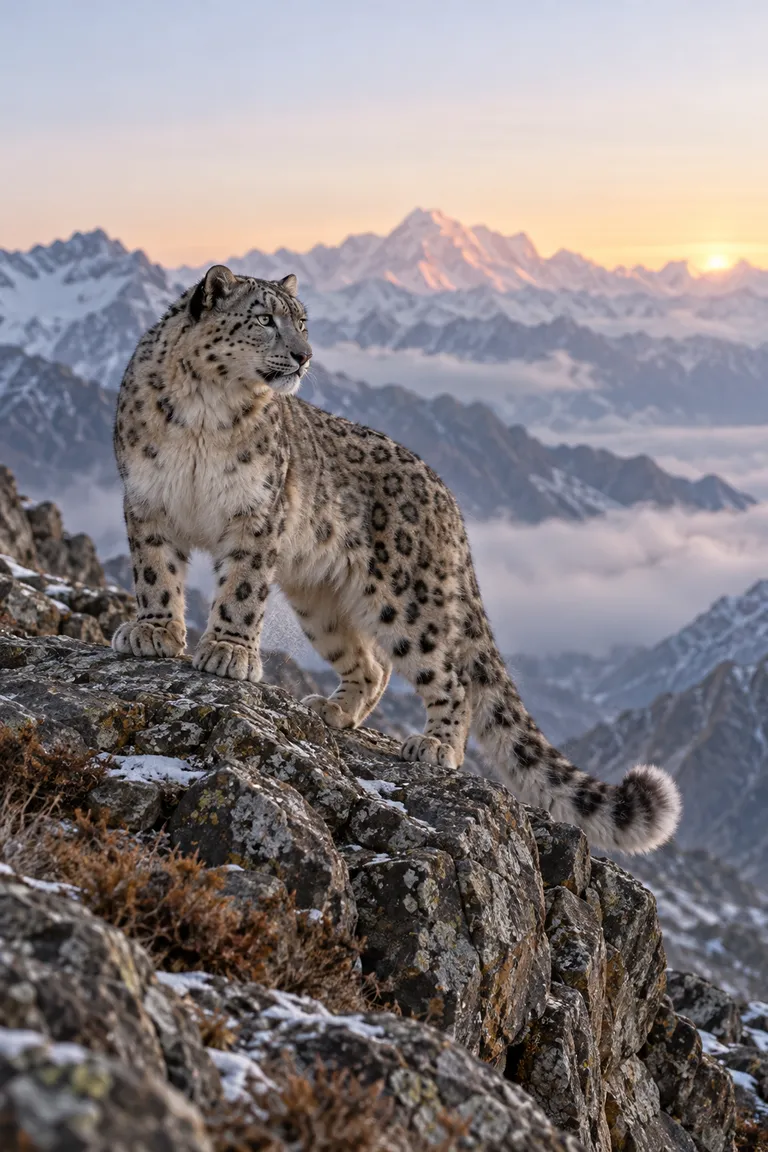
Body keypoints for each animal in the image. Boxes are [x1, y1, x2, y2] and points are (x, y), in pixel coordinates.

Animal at [112, 264, 681, 853]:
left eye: (302, 322)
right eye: (265, 319)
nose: (304, 356)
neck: (205, 410)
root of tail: (448, 500)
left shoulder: (256, 513)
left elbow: (242, 589)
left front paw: (227, 652)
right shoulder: (147, 501)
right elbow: (155, 573)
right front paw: (153, 633)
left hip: (407, 598)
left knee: (451, 677)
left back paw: (436, 746)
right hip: (320, 601)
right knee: (372, 664)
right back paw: (334, 710)